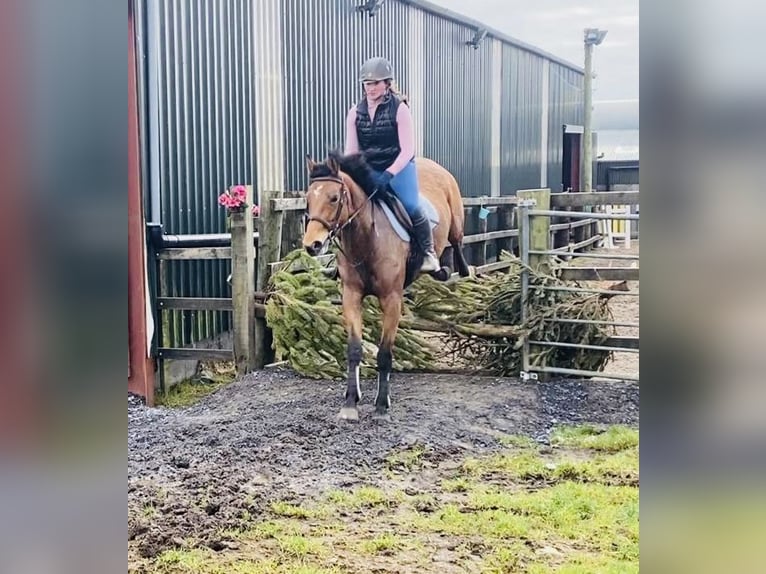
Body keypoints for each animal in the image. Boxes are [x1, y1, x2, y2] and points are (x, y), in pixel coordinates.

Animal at [302, 153, 472, 424]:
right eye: (308, 199)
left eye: (334, 198)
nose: (312, 245)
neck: (367, 239)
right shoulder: (351, 296)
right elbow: (354, 349)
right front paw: (351, 401)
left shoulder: (391, 299)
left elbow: (384, 353)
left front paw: (382, 404)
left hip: (456, 224)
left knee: (456, 244)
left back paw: (453, 270)